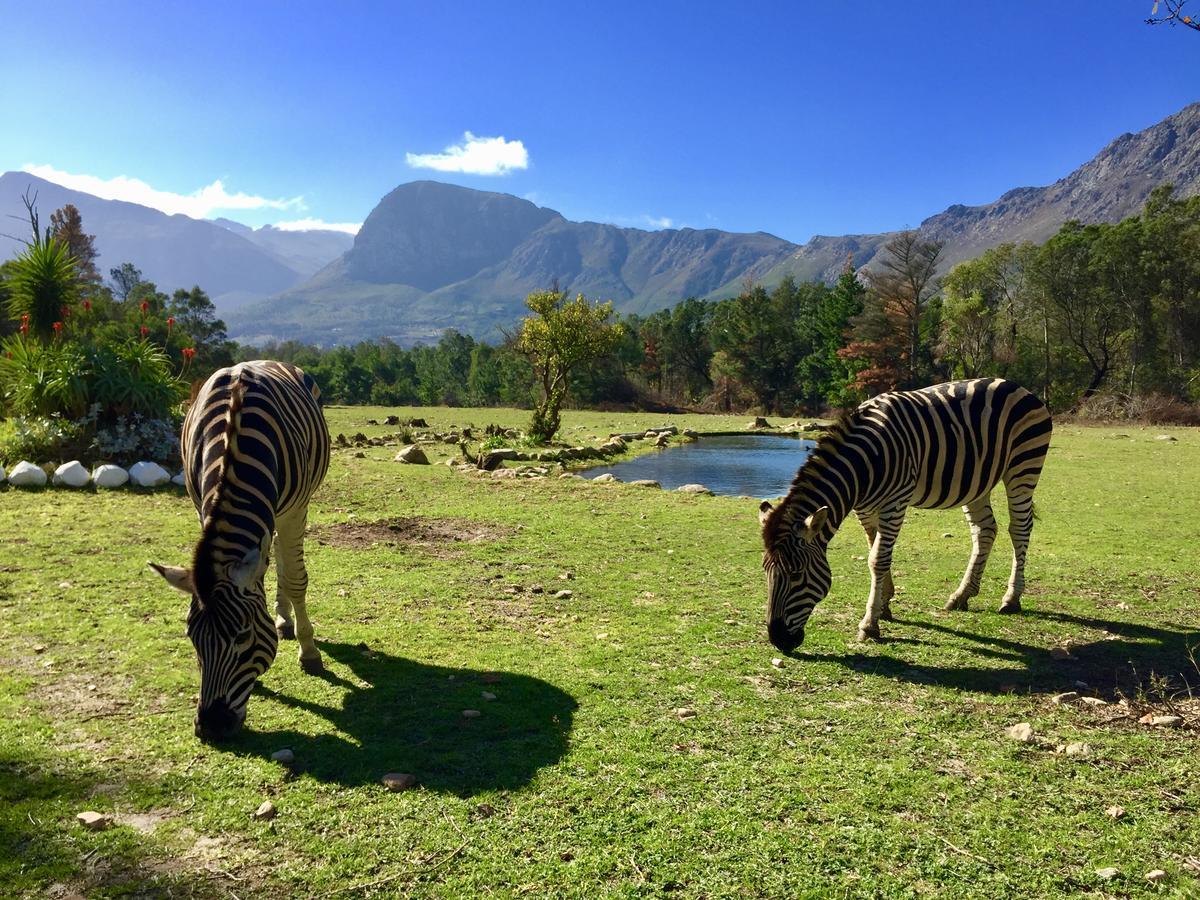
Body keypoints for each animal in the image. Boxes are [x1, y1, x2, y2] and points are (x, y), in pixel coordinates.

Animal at [150, 360, 331, 739]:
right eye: (191, 637)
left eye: (244, 636)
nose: (211, 727)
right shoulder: (200, 505)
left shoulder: (295, 510)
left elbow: (296, 580)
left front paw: (309, 651)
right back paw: (282, 618)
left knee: (284, 561)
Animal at [758, 376, 1051, 652]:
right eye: (766, 572)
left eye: (796, 575)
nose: (778, 640)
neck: (864, 465)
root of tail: (1016, 386)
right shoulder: (865, 509)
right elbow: (874, 551)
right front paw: (884, 605)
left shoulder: (895, 503)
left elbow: (877, 559)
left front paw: (870, 624)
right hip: (977, 481)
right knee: (985, 530)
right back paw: (962, 595)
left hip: (1023, 466)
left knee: (1020, 528)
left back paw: (1011, 599)